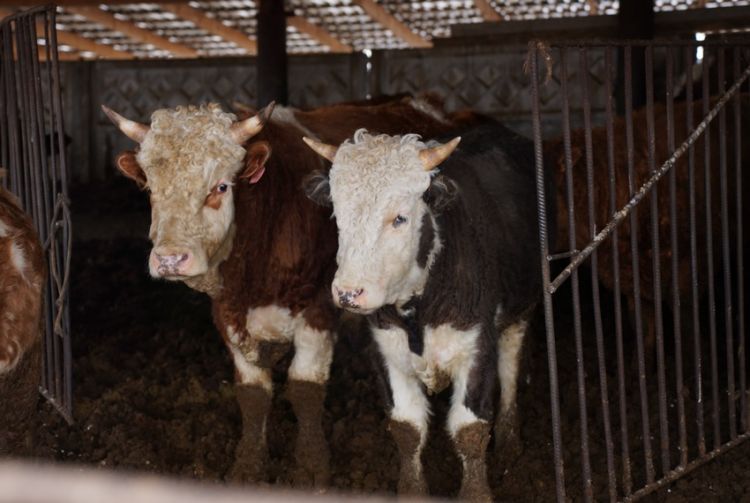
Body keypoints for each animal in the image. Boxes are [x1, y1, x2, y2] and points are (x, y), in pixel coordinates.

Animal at [103, 96, 474, 488]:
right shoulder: (227, 314)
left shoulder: (318, 309)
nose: (170, 259)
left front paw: (311, 466)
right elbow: (252, 393)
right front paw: (248, 466)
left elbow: (305, 388)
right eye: (150, 189)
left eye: (220, 187)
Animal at [303, 122, 554, 501]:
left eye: (400, 218)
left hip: (522, 308)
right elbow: (407, 428)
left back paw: (510, 440)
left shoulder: (476, 346)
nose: (348, 293)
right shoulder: (387, 350)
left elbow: (469, 430)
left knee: (511, 367)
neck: (418, 309)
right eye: (338, 216)